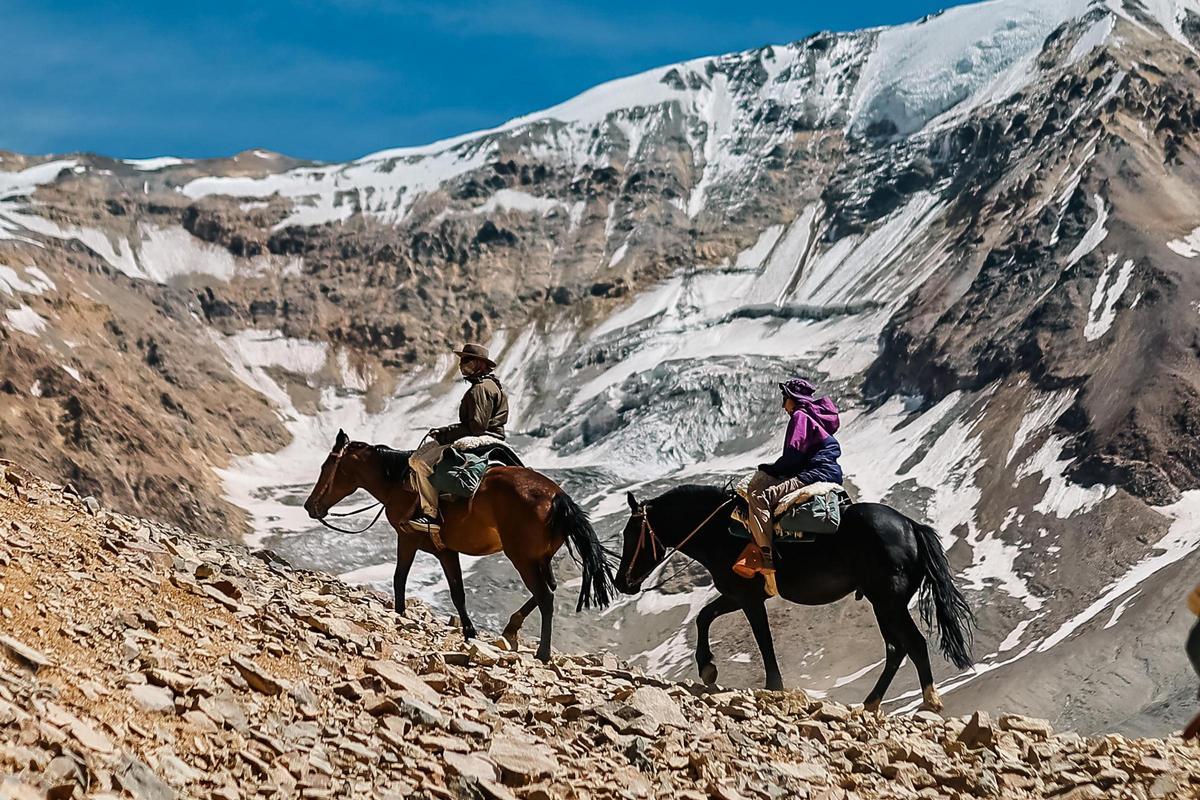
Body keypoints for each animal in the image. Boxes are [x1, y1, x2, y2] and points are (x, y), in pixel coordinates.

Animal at [300, 431, 619, 662]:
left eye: (327, 466)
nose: (310, 507)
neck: (399, 484)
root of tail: (557, 496)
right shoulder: (445, 551)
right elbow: (457, 593)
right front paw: (469, 632)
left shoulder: (412, 540)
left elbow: (403, 578)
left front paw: (401, 614)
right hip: (541, 558)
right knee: (548, 589)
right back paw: (511, 630)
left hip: (522, 559)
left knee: (546, 596)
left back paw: (542, 653)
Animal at [619, 484, 974, 710]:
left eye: (631, 533)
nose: (623, 582)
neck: (719, 530)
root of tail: (912, 526)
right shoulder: (736, 595)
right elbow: (704, 616)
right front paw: (708, 668)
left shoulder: (748, 598)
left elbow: (762, 640)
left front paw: (772, 685)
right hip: (882, 604)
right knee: (896, 649)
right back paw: (870, 705)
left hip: (888, 602)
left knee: (912, 643)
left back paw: (930, 702)